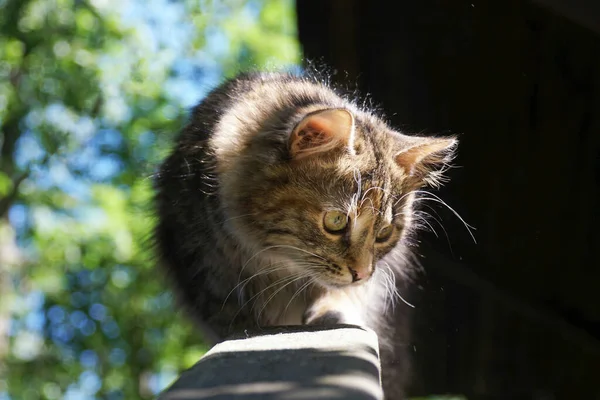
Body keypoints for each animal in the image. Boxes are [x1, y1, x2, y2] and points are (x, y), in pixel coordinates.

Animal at [154, 70, 454, 398]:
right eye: (336, 221)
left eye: (384, 233)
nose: (361, 273)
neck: (278, 265)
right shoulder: (202, 271)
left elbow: (341, 297)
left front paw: (331, 311)